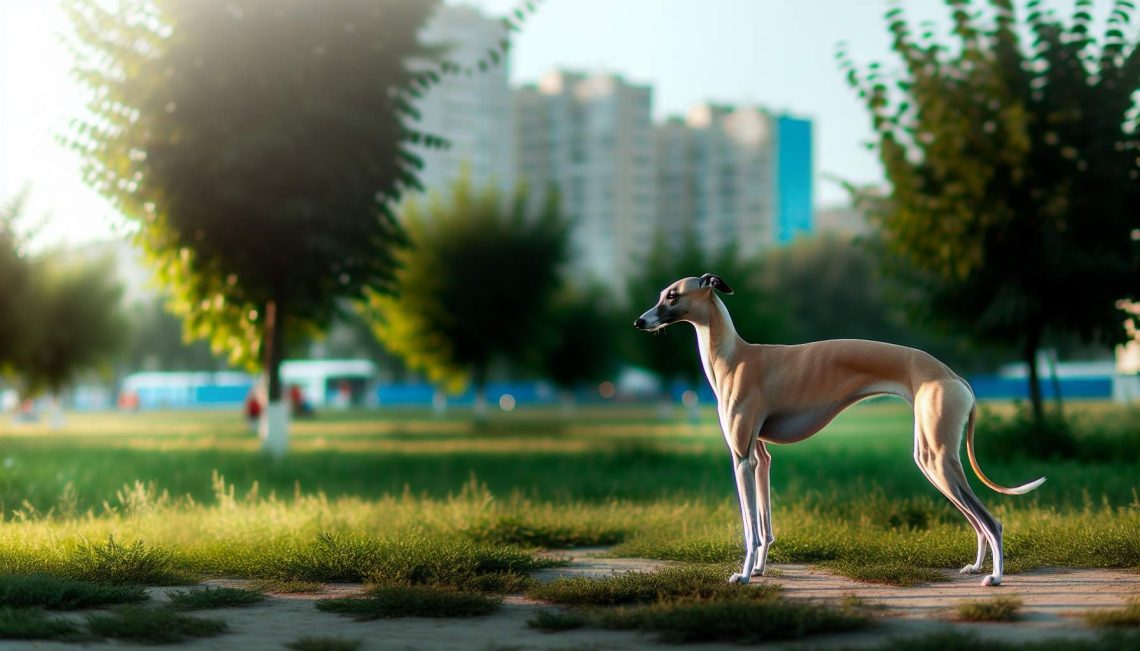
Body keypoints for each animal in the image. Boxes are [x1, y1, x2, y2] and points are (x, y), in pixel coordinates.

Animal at [638, 272, 1044, 588]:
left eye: (672, 295)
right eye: (662, 294)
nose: (639, 322)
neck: (733, 357)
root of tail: (956, 376)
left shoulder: (741, 457)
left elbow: (750, 527)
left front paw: (744, 576)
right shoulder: (761, 458)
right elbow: (765, 525)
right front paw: (761, 570)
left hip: (939, 457)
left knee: (992, 520)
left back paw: (995, 577)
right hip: (930, 456)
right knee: (976, 519)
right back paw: (976, 566)